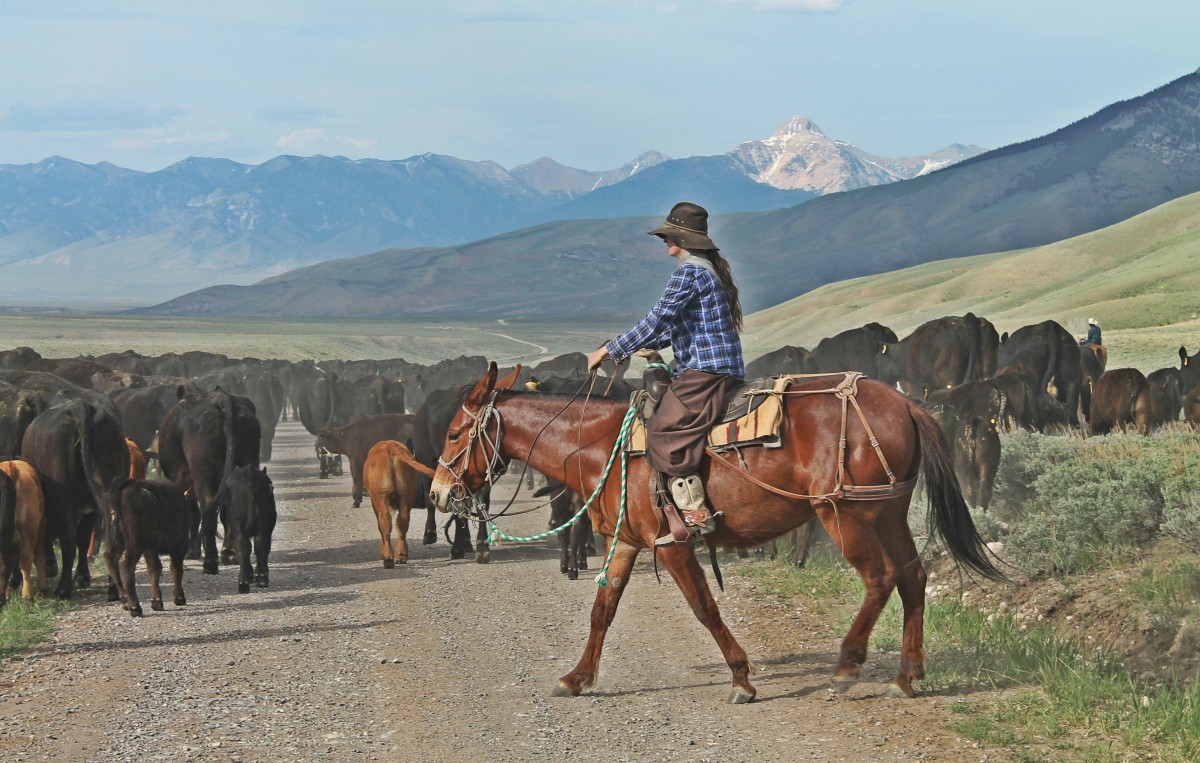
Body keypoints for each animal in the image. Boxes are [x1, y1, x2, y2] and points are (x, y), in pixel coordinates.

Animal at [21, 395, 130, 599]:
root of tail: (80, 406)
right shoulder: (89, 509)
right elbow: (84, 538)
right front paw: (82, 576)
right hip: (107, 490)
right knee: (108, 535)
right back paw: (113, 587)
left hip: (63, 494)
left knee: (68, 537)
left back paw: (63, 588)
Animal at [102, 479, 196, 619]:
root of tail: (128, 483)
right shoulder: (179, 545)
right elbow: (176, 569)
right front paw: (179, 598)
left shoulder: (150, 548)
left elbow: (155, 569)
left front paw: (156, 601)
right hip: (134, 545)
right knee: (126, 566)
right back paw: (135, 608)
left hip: (114, 541)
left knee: (110, 560)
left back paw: (125, 601)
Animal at [156, 386, 259, 571]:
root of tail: (223, 401)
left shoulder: (183, 479)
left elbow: (193, 513)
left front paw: (192, 550)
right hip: (246, 464)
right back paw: (229, 553)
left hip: (202, 473)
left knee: (206, 507)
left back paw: (210, 560)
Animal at [212, 463, 277, 592]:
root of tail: (249, 473)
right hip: (263, 528)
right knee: (259, 546)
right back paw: (260, 579)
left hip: (240, 527)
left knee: (244, 548)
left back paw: (244, 582)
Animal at [432, 362, 1003, 705]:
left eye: (455, 433)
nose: (438, 493)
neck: (601, 445)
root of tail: (905, 403)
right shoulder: (629, 542)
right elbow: (603, 610)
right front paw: (577, 677)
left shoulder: (673, 545)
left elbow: (705, 608)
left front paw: (742, 678)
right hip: (887, 512)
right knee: (912, 578)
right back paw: (907, 676)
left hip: (845, 516)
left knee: (881, 579)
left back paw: (847, 665)